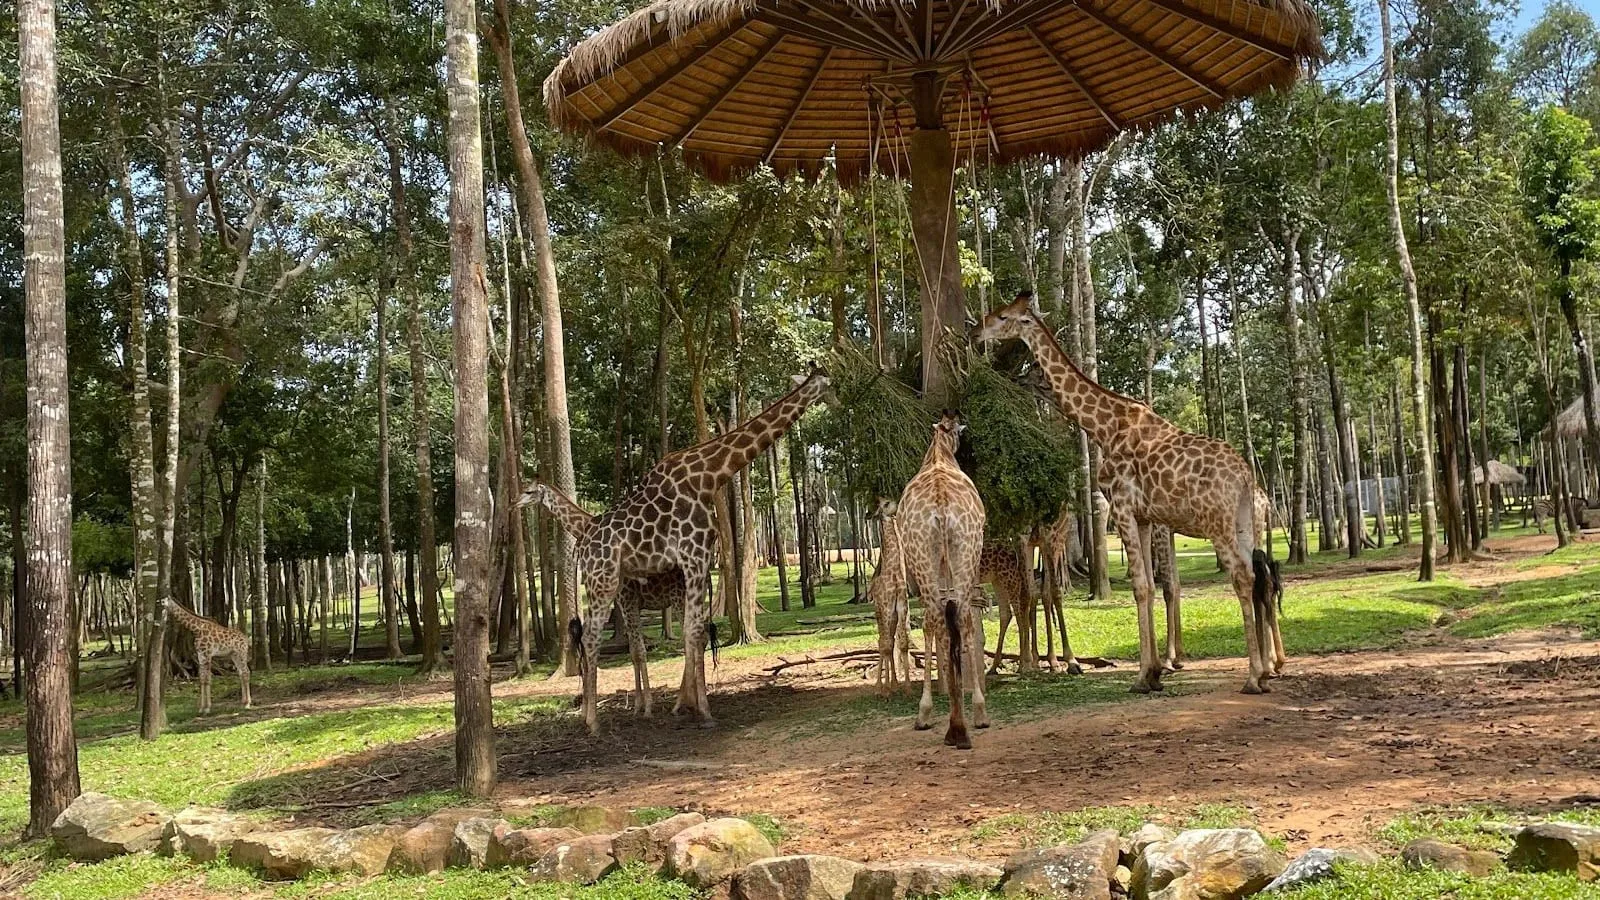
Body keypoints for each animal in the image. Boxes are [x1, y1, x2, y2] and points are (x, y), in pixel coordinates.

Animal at [537, 368, 834, 733]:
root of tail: (584, 544)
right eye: (829, 384)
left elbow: (695, 632)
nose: (839, 398)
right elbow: (692, 632)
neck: (709, 475)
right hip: (603, 582)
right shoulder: (694, 557)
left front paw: (686, 705)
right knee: (593, 638)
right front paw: (701, 710)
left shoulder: (699, 563)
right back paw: (593, 720)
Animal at [898, 411, 988, 749]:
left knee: (937, 618)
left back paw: (936, 717)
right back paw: (968, 719)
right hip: (964, 551)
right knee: (959, 616)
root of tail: (941, 505)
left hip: (928, 556)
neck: (939, 454)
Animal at [976, 292, 1280, 694]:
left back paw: (1253, 677)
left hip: (1217, 524)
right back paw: (1264, 671)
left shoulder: (1121, 508)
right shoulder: (1146, 516)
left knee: (1243, 577)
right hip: (1245, 524)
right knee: (1260, 577)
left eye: (1002, 316)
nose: (976, 332)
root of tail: (1246, 478)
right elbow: (1150, 584)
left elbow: (1141, 586)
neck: (1104, 426)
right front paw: (1153, 673)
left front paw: (1143, 676)